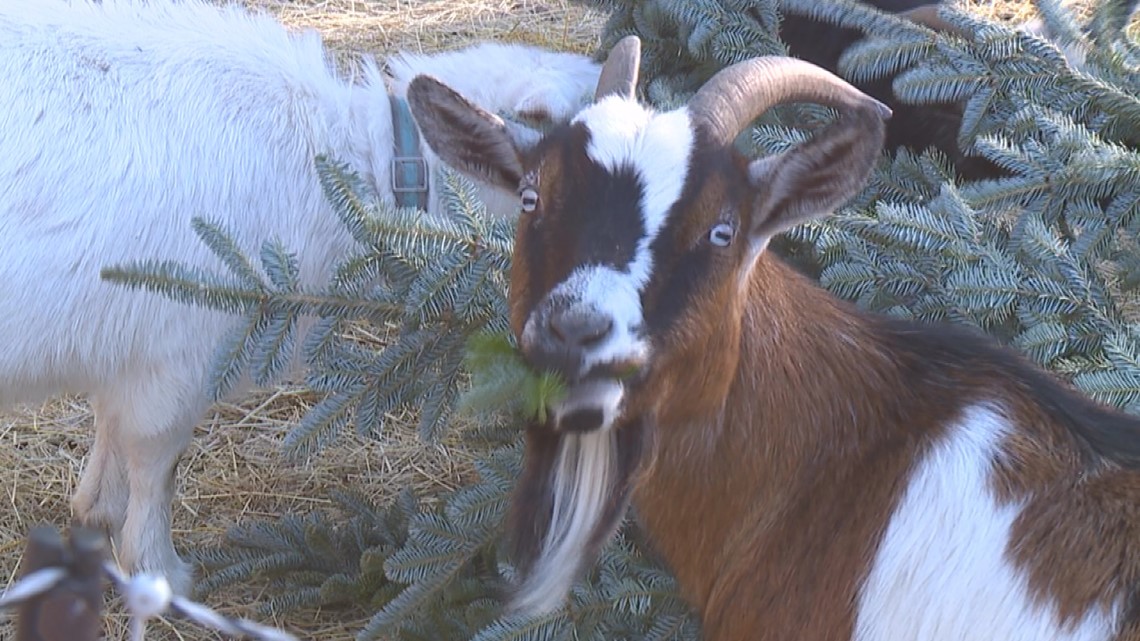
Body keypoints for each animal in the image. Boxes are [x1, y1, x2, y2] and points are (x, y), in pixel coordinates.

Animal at [0, 0, 599, 594]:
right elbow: (156, 463)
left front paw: (95, 524)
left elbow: (111, 442)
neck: (356, 163)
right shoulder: (175, 359)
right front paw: (160, 571)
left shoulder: (125, 353)